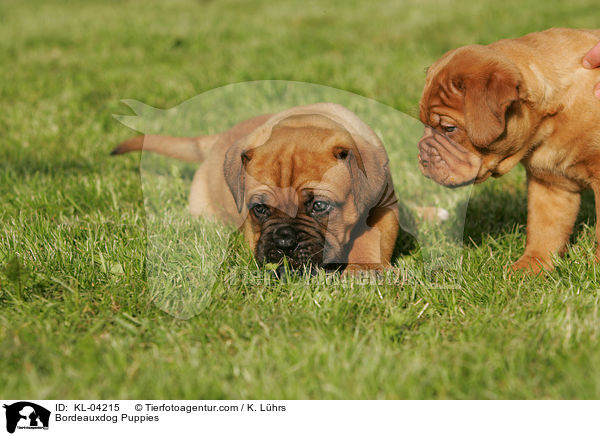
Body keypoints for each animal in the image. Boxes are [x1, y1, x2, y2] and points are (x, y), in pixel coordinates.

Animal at [420, 28, 600, 272]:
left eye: (449, 128)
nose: (422, 157)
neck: (548, 126)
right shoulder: (550, 185)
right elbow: (544, 230)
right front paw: (529, 268)